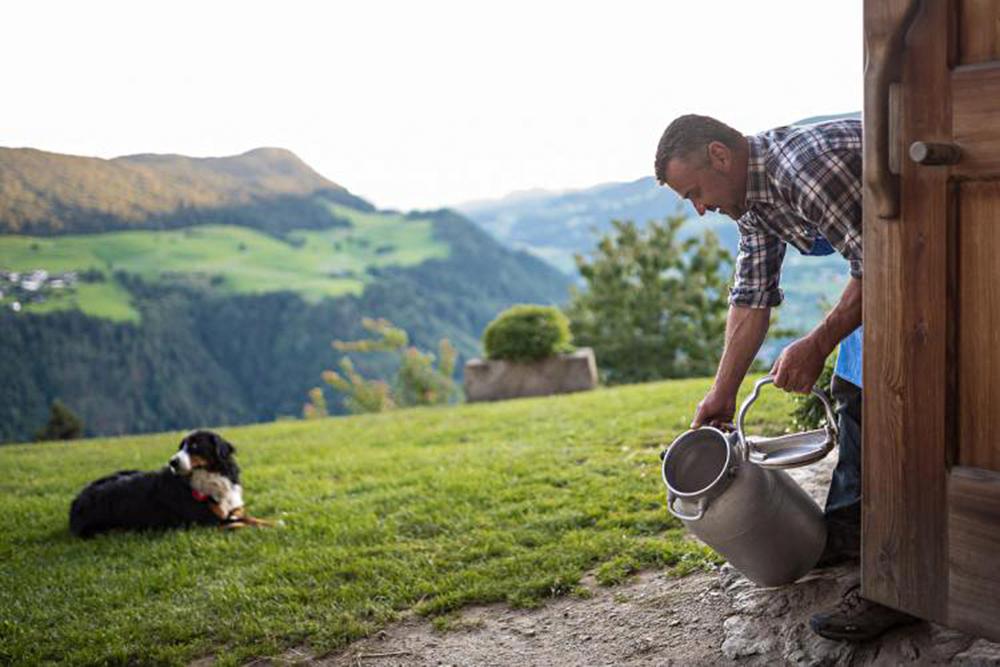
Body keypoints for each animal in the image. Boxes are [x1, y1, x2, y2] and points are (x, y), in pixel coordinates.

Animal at [70, 430, 270, 540]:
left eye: (195, 446)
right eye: (180, 447)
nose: (172, 462)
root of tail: (77, 500)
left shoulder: (232, 511)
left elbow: (252, 519)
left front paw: (274, 523)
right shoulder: (207, 523)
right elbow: (240, 524)